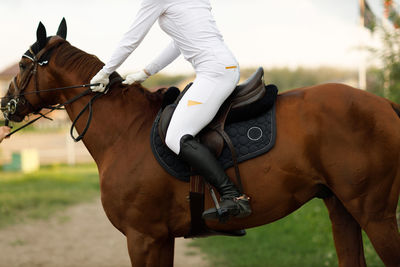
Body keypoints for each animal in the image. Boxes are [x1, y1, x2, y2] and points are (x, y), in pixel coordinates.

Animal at [3, 19, 400, 266]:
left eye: (23, 66)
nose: (7, 105)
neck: (125, 130)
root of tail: (384, 103)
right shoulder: (159, 239)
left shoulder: (143, 238)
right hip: (341, 208)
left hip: (375, 213)